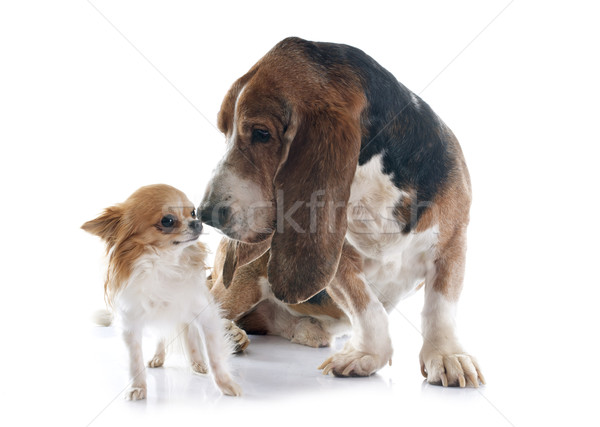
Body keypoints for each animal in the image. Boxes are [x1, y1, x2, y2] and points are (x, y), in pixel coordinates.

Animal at [82, 185, 241, 402]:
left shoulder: (205, 314)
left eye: (193, 212)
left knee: (191, 336)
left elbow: (214, 354)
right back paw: (158, 357)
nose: (197, 222)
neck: (164, 263)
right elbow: (135, 360)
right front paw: (138, 387)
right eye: (167, 221)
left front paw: (225, 384)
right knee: (161, 336)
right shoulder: (131, 324)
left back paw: (197, 362)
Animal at [199, 37, 486, 388]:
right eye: (224, 131)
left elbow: (440, 307)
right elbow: (368, 308)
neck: (370, 187)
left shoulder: (452, 241)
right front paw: (366, 356)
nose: (205, 213)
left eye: (261, 133)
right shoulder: (340, 262)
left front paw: (447, 356)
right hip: (244, 277)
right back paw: (228, 334)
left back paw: (305, 329)